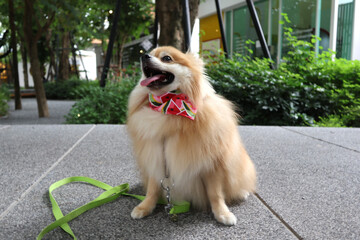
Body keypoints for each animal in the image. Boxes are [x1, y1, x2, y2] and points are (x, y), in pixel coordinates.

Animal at [126, 46, 256, 225]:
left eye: (166, 58)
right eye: (150, 53)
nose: (144, 56)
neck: (168, 107)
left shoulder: (212, 164)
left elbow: (215, 193)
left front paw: (222, 213)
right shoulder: (155, 157)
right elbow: (152, 189)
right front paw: (144, 207)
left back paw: (242, 193)